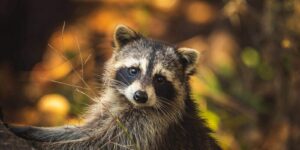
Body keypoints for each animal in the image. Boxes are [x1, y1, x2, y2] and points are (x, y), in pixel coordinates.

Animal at [6, 24, 220, 150]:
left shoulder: (151, 126)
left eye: (160, 79)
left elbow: (101, 144)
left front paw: (37, 143)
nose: (140, 96)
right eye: (133, 70)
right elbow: (83, 130)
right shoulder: (110, 109)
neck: (130, 103)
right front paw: (30, 130)